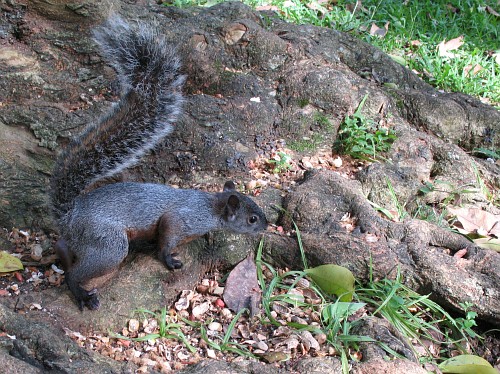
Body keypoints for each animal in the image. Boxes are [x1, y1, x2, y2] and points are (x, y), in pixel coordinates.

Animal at [50, 16, 268, 310]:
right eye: (252, 218)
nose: (266, 226)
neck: (211, 206)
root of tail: (70, 215)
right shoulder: (182, 218)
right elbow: (166, 237)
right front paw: (169, 259)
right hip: (107, 245)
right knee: (75, 272)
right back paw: (82, 293)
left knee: (64, 247)